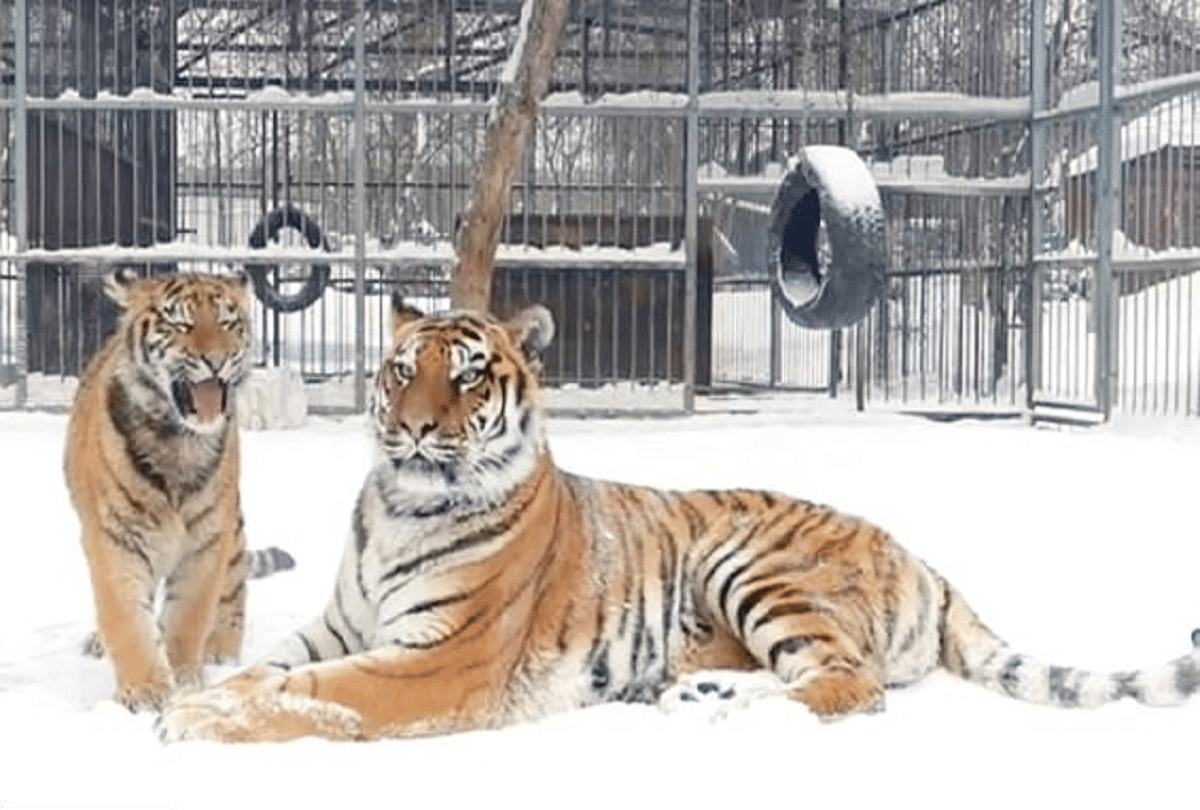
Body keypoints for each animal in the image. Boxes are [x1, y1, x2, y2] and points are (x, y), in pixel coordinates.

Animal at [65, 269, 294, 713]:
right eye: (180, 325)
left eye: (227, 322)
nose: (216, 360)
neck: (177, 442)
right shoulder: (113, 538)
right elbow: (125, 616)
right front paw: (145, 690)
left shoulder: (206, 540)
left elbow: (189, 614)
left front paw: (186, 680)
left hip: (231, 531)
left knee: (234, 588)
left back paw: (222, 650)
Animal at [157, 295, 1200, 742]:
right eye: (402, 369)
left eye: (469, 378)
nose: (412, 429)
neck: (399, 506)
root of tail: (923, 558)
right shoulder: (341, 624)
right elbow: (267, 670)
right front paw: (192, 697)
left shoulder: (438, 657)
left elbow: (314, 694)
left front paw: (192, 718)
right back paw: (694, 694)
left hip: (759, 565)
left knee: (848, 685)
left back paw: (722, 712)